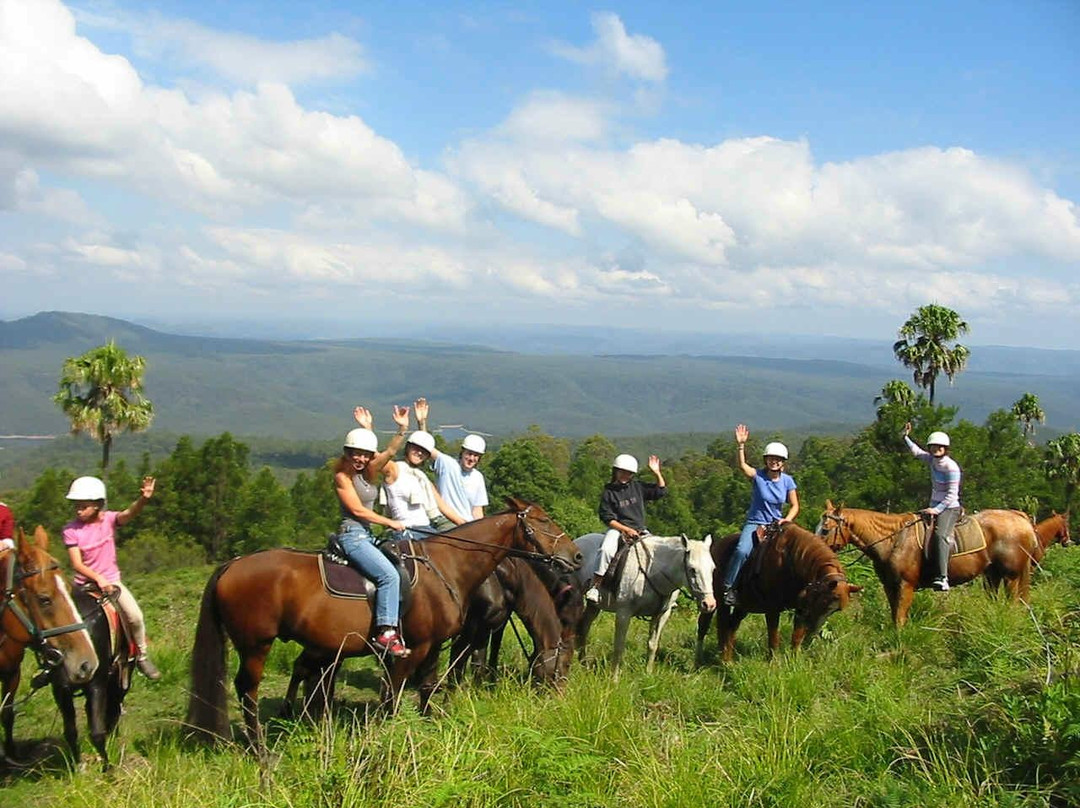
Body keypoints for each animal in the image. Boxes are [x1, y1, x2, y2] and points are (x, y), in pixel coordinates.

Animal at [1, 527, 98, 760]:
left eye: (69, 589)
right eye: (44, 599)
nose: (87, 663)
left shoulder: (11, 674)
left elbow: (7, 713)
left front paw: (10, 754)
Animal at [183, 499, 583, 756]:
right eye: (544, 521)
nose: (576, 556)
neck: (448, 565)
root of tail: (231, 565)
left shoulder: (434, 644)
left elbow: (428, 686)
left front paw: (429, 723)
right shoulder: (415, 646)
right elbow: (394, 695)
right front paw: (390, 733)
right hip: (256, 645)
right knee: (248, 690)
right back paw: (259, 748)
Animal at [574, 533, 717, 678]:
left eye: (713, 569)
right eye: (692, 569)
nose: (709, 604)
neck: (653, 571)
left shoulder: (662, 614)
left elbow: (652, 645)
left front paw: (648, 674)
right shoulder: (624, 612)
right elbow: (619, 646)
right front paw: (614, 678)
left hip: (594, 606)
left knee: (584, 627)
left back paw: (583, 662)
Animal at [695, 524, 864, 661]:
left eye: (835, 610)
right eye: (823, 603)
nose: (812, 636)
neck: (791, 560)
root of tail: (715, 548)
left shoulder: (801, 609)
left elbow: (796, 637)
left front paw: (795, 661)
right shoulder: (772, 609)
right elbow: (773, 638)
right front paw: (774, 663)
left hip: (743, 606)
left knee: (731, 627)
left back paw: (727, 659)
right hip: (716, 601)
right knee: (710, 625)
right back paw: (706, 660)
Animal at [816, 501, 1036, 626]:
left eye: (825, 529)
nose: (815, 547)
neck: (894, 540)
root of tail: (1020, 517)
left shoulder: (906, 585)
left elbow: (900, 618)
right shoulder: (890, 586)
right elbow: (894, 615)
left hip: (1011, 575)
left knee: (1014, 601)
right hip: (992, 574)